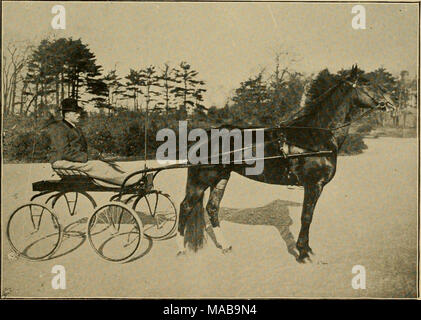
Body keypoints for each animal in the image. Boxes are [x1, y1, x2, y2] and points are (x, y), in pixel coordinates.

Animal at [176, 66, 396, 264]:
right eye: (367, 83)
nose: (391, 104)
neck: (315, 136)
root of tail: (202, 135)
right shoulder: (313, 184)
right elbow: (306, 217)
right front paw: (303, 253)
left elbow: (308, 216)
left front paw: (307, 249)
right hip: (202, 179)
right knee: (185, 206)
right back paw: (180, 249)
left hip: (221, 177)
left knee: (212, 208)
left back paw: (225, 245)